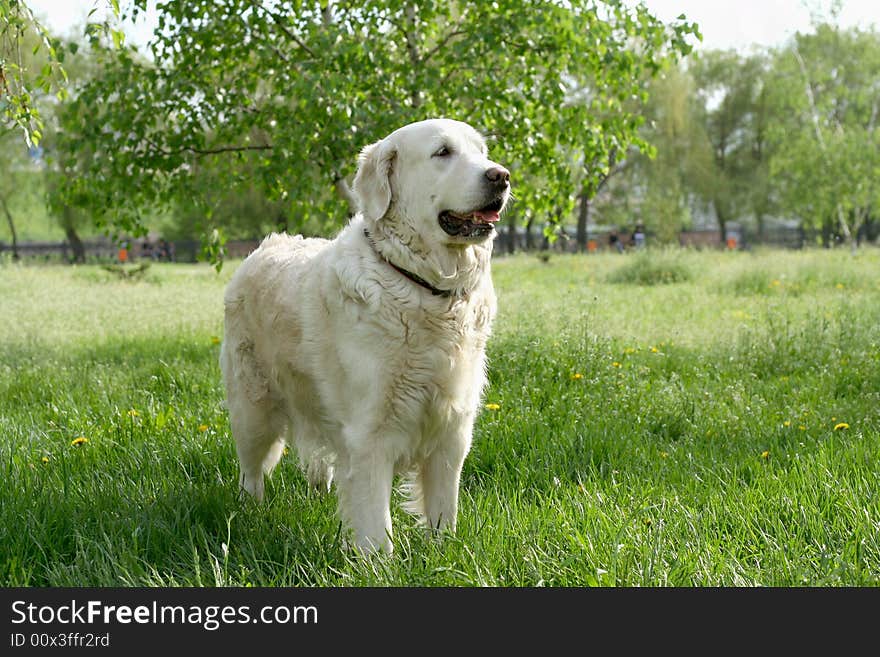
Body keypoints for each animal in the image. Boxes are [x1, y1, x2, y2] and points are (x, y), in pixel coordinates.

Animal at [220, 119, 508, 552]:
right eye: (442, 152)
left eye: (482, 153)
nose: (501, 176)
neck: (425, 290)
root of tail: (267, 245)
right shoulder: (371, 434)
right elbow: (376, 526)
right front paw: (379, 562)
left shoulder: (453, 430)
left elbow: (444, 511)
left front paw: (443, 553)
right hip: (254, 409)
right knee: (250, 471)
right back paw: (249, 511)